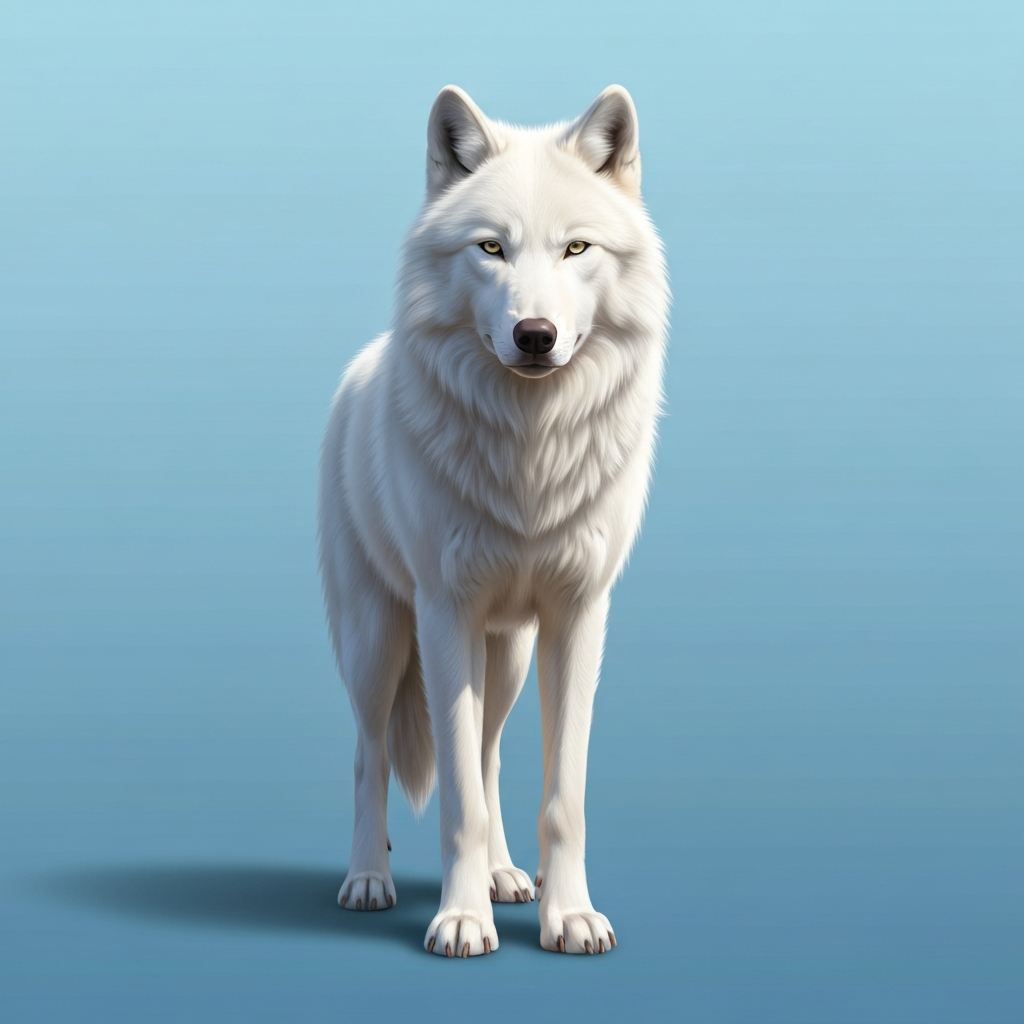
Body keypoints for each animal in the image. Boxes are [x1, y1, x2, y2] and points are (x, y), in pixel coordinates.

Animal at [318, 84, 669, 957]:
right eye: (491, 249)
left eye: (576, 248)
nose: (534, 336)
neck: (530, 453)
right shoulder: (445, 612)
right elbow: (456, 804)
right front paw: (460, 919)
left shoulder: (579, 616)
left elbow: (558, 794)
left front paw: (565, 915)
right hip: (377, 640)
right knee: (371, 757)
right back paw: (367, 879)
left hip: (506, 654)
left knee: (488, 754)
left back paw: (508, 877)